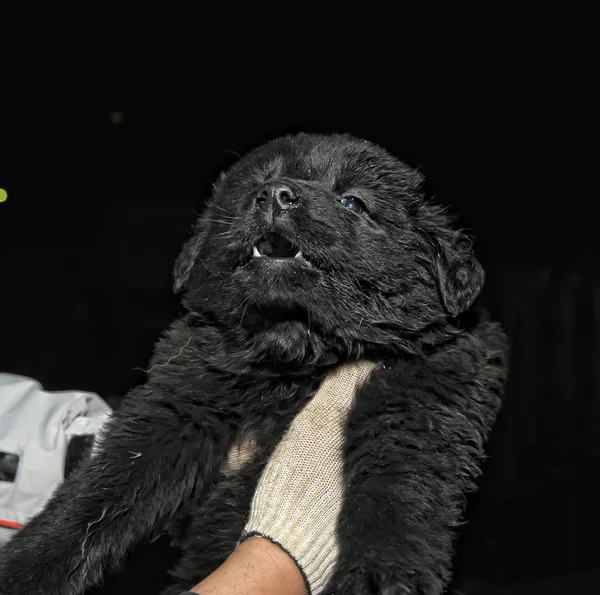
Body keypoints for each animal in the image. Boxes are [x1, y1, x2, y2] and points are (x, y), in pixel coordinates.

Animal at [0, 135, 506, 595]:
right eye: (255, 187)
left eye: (353, 202)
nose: (277, 194)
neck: (295, 354)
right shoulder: (175, 404)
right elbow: (98, 494)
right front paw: (23, 569)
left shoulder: (423, 399)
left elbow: (399, 484)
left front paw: (382, 576)